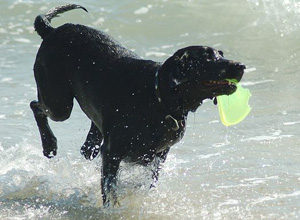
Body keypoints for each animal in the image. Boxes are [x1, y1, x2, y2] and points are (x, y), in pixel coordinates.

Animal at [31, 4, 246, 207]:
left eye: (221, 54)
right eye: (208, 58)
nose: (242, 66)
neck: (160, 99)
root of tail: (52, 31)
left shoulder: (158, 155)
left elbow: (147, 182)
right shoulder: (112, 152)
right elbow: (110, 188)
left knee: (90, 133)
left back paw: (87, 145)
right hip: (58, 103)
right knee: (36, 106)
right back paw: (49, 144)